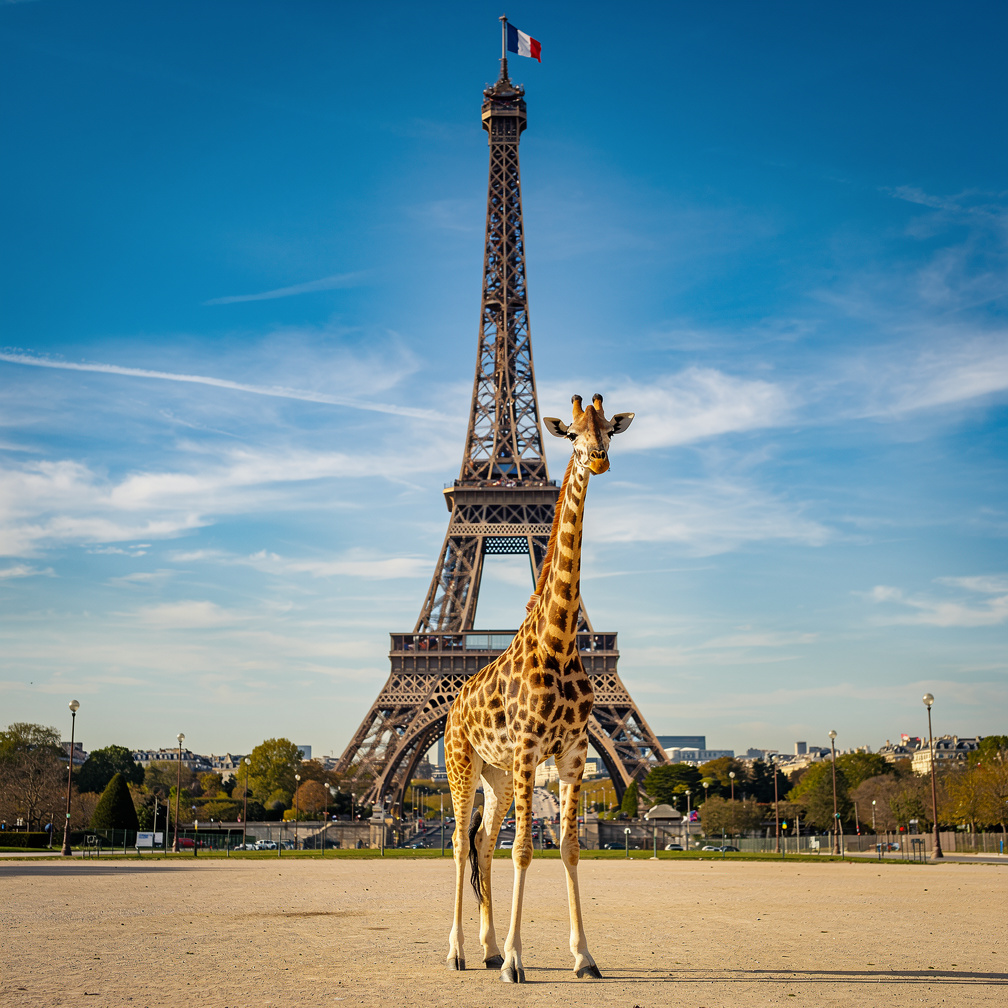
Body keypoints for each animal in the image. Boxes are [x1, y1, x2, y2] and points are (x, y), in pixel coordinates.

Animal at [444, 393, 634, 983]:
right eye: (570, 433)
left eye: (609, 429)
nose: (598, 457)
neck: (561, 640)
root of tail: (453, 704)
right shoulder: (530, 749)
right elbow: (525, 849)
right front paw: (517, 962)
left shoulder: (571, 755)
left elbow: (569, 849)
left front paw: (584, 957)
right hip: (462, 765)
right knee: (458, 841)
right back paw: (459, 951)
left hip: (498, 777)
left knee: (483, 841)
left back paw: (487, 949)